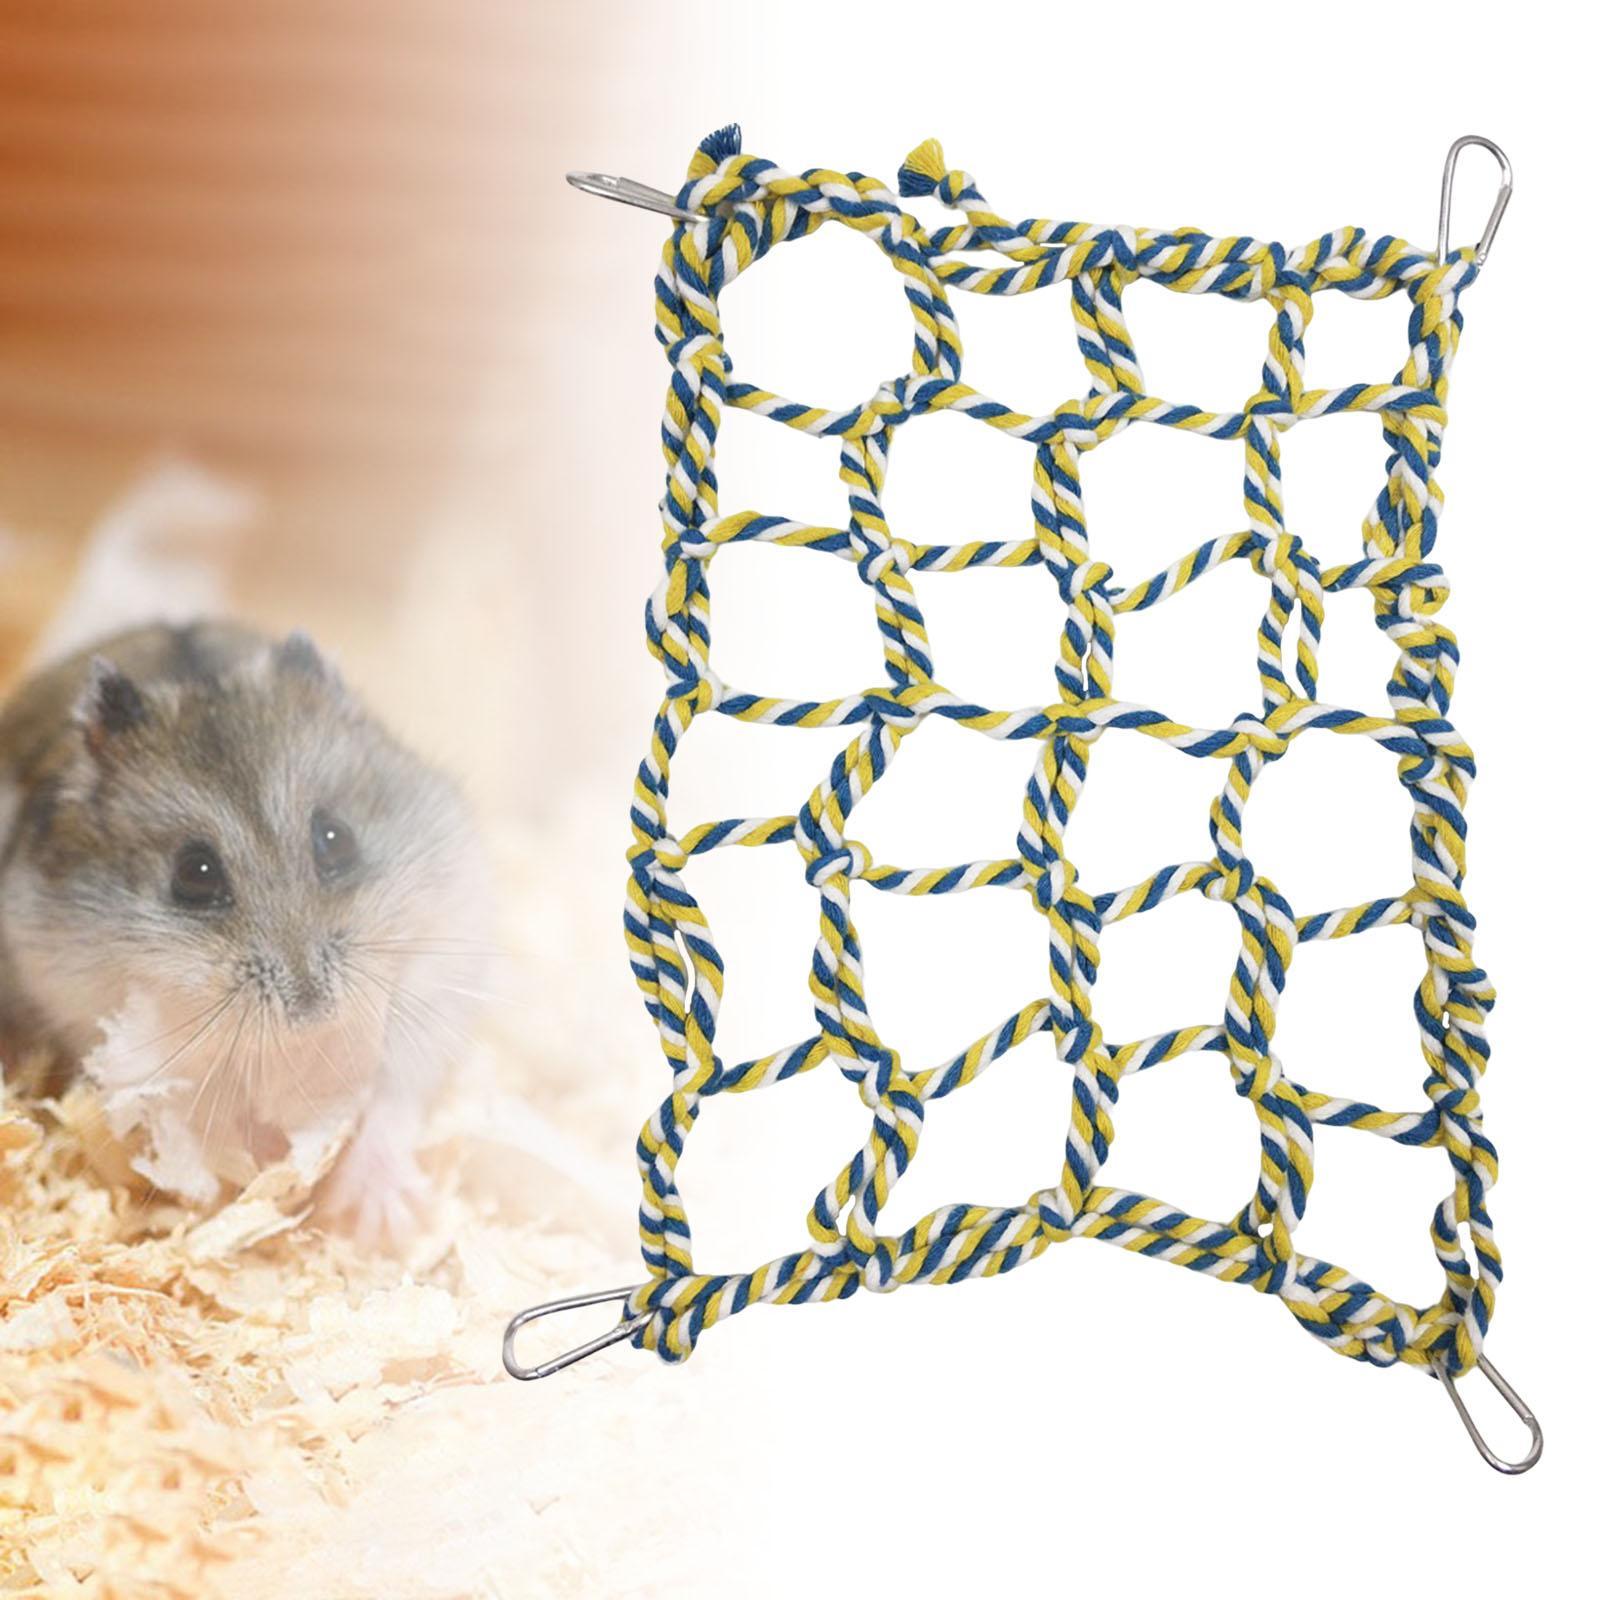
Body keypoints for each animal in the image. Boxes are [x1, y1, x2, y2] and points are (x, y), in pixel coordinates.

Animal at [0, 621, 487, 1241]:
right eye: (194, 873)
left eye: (336, 838)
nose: (312, 1010)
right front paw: (267, 1162)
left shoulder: (437, 971)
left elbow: (393, 1095)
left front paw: (385, 1223)